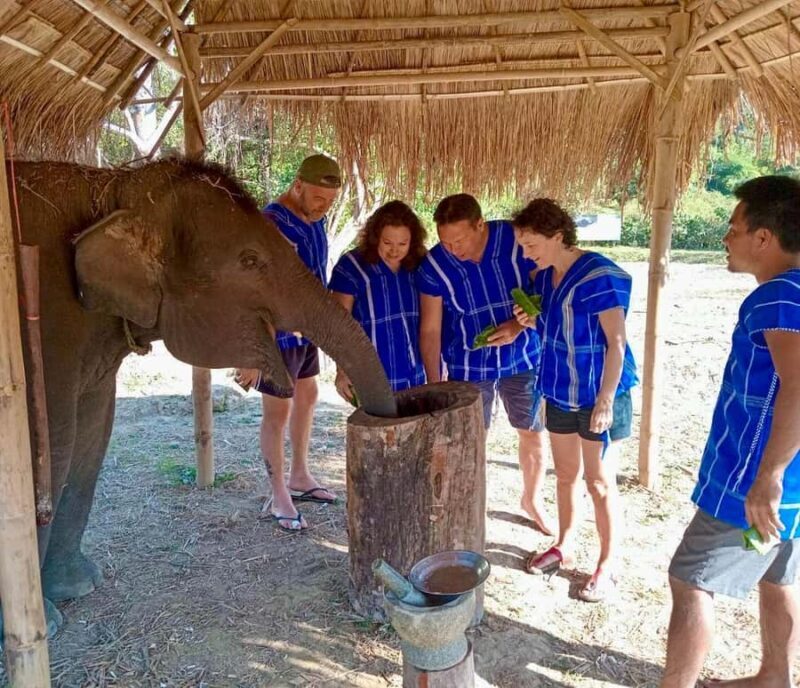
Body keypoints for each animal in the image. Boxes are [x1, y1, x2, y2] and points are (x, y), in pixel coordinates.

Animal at [1, 158, 397, 634]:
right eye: (250, 260)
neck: (115, 188)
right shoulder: (42, 330)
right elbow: (52, 443)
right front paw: (47, 623)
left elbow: (93, 435)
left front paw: (80, 586)